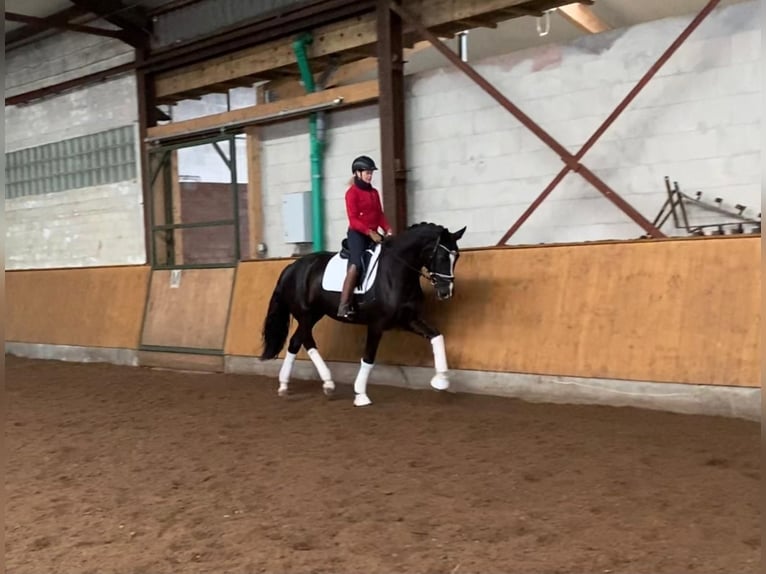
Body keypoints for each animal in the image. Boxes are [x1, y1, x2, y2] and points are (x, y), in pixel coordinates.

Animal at [260, 223, 468, 408]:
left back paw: (298, 384)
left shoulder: (409, 320)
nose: (446, 292)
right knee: (304, 341)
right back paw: (316, 383)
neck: (395, 272)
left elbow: (437, 336)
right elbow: (368, 357)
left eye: (457, 256)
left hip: (314, 314)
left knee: (297, 341)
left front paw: (441, 380)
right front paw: (360, 395)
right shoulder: (376, 324)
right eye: (442, 256)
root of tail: (291, 268)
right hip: (305, 315)